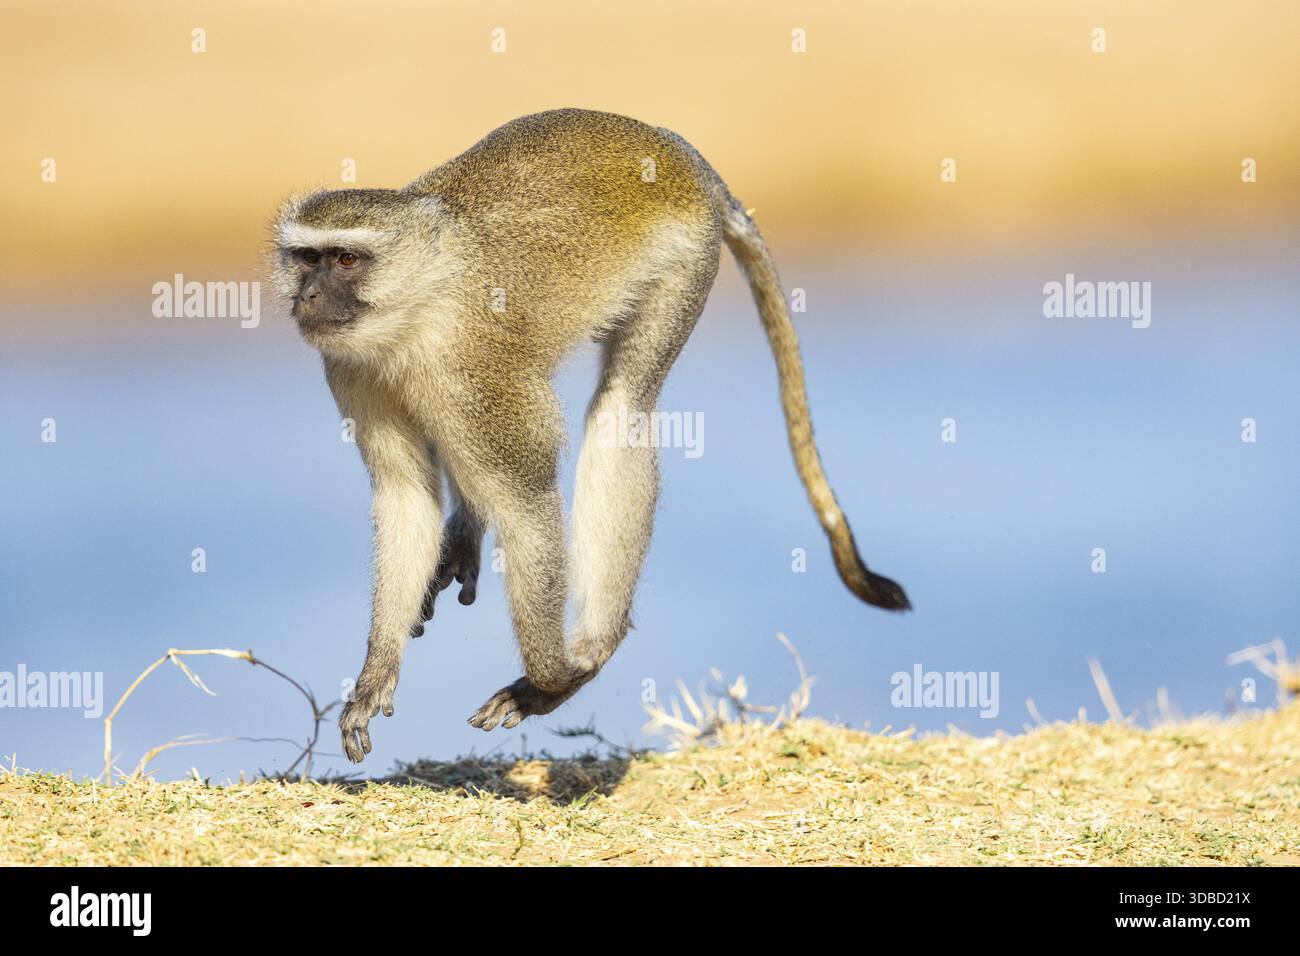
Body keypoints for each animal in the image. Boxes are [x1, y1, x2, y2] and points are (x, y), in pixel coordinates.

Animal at [270, 109, 909, 763]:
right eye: (307, 259)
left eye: (346, 261)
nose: (308, 295)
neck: (418, 307)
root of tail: (686, 157)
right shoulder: (349, 369)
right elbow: (406, 496)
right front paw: (376, 673)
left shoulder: (471, 368)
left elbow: (527, 500)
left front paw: (553, 678)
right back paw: (470, 532)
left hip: (686, 259)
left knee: (622, 411)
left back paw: (598, 644)